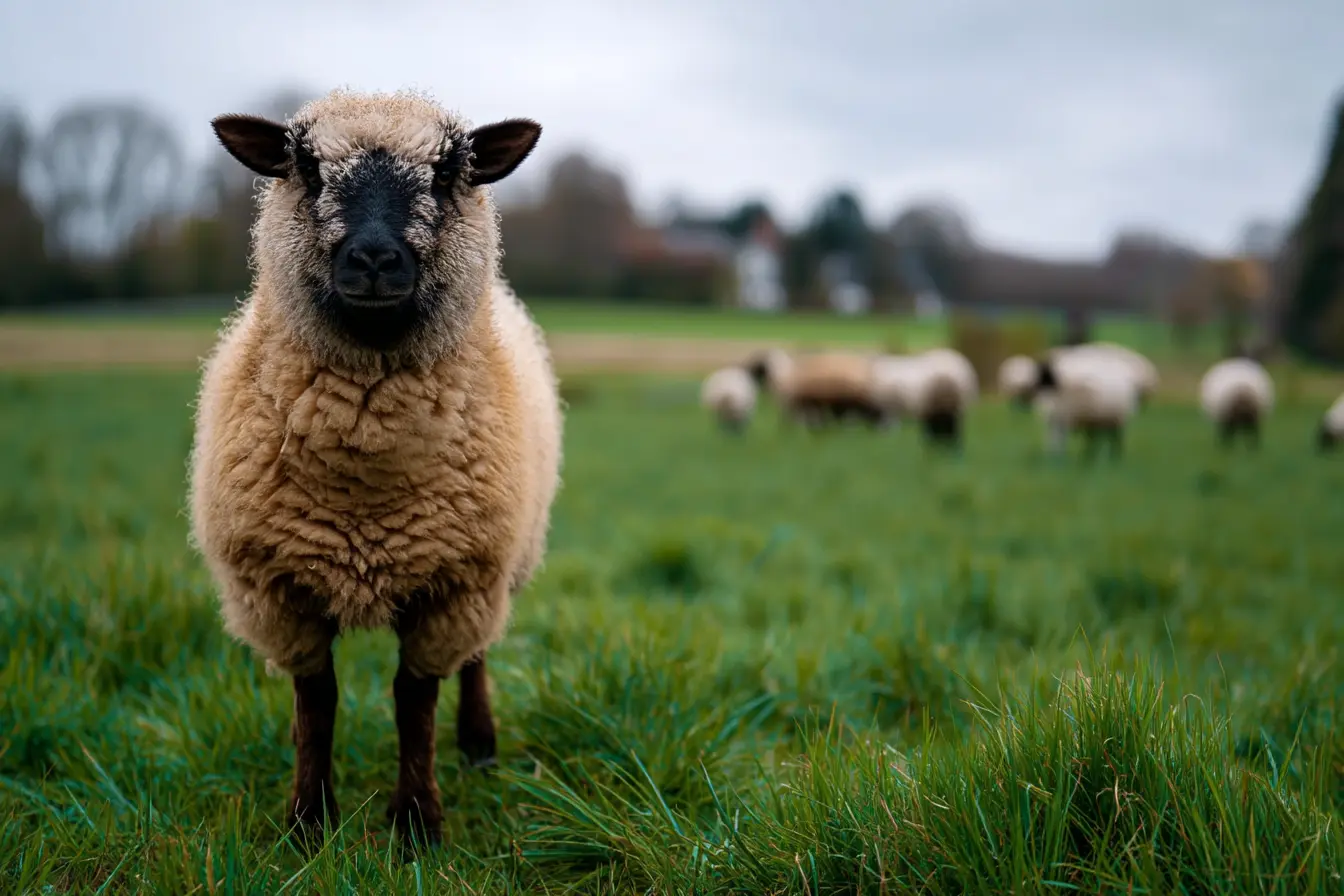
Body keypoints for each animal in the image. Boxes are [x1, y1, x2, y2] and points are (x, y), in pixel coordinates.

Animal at [189, 88, 562, 848]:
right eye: (305, 166)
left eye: (448, 172)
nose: (373, 258)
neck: (365, 457)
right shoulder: (277, 592)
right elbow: (317, 703)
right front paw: (308, 821)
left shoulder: (453, 583)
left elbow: (413, 701)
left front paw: (417, 823)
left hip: (497, 568)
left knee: (477, 657)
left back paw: (479, 745)